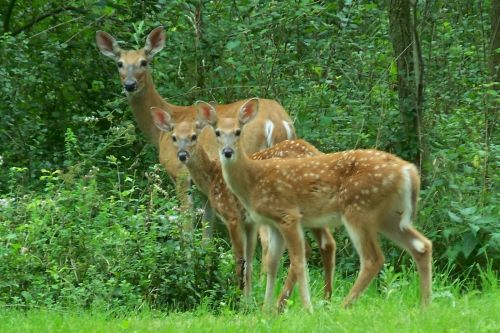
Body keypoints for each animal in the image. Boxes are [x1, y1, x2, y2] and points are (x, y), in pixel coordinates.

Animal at [150, 104, 334, 298]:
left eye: (194, 136)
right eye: (174, 137)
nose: (182, 155)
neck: (212, 177)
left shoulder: (232, 216)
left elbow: (239, 258)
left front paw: (237, 297)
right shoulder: (248, 221)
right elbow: (248, 260)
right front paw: (248, 297)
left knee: (304, 249)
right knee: (324, 244)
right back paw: (323, 296)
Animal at [201, 96, 432, 312]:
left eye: (238, 132)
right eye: (218, 132)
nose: (227, 152)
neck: (253, 180)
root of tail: (408, 171)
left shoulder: (288, 215)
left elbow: (298, 261)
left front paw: (306, 308)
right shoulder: (273, 223)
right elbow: (272, 263)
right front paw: (265, 310)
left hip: (358, 209)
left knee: (373, 258)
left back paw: (343, 305)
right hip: (388, 215)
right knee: (422, 245)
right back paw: (424, 307)